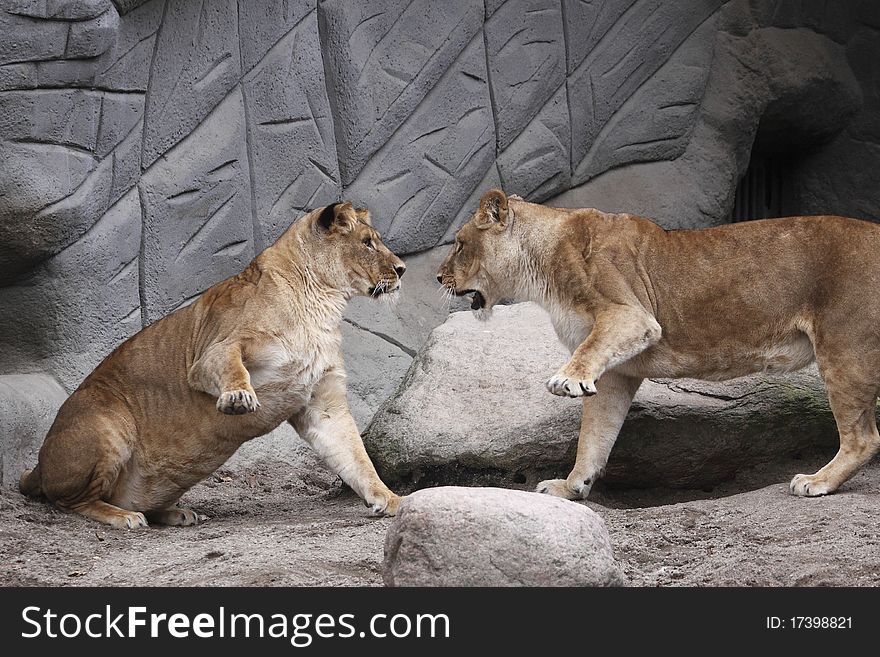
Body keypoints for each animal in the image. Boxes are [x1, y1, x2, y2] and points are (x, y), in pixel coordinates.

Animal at [20, 202, 406, 524]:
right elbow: (232, 366)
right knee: (70, 500)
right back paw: (123, 517)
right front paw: (238, 397)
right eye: (368, 243)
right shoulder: (212, 351)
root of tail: (38, 466)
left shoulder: (322, 404)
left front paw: (391, 500)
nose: (402, 269)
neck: (322, 304)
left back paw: (177, 513)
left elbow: (356, 458)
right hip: (109, 423)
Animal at [438, 192, 880, 500]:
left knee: (863, 437)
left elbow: (585, 360)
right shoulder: (616, 373)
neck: (542, 261)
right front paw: (571, 488)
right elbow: (594, 438)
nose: (439, 277)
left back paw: (817, 481)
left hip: (845, 348)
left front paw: (566, 380)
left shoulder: (632, 315)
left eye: (459, 244)